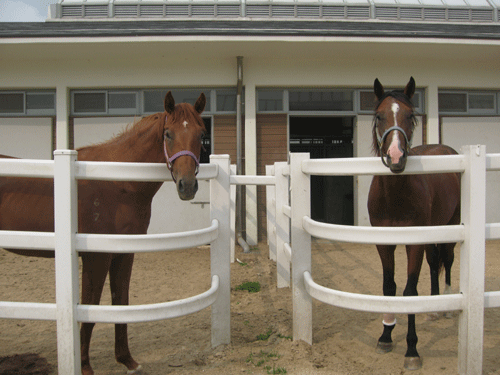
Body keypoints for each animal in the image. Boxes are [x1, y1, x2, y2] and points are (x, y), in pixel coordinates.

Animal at [0, 92, 207, 375]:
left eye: (200, 133)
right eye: (168, 134)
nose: (187, 186)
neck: (118, 182)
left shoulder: (123, 253)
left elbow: (121, 302)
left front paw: (127, 359)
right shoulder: (96, 257)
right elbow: (91, 307)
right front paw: (85, 366)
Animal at [368, 78, 460, 372]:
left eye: (410, 116)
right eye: (379, 116)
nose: (396, 157)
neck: (395, 196)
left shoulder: (414, 243)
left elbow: (409, 291)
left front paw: (411, 350)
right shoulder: (383, 243)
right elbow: (389, 287)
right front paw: (386, 335)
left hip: (450, 226)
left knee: (448, 260)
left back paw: (445, 305)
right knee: (433, 263)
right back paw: (431, 310)